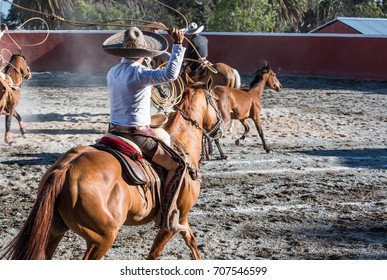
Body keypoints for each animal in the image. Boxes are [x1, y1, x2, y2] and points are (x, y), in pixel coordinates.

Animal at [0, 77, 221, 260]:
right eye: (217, 99)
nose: (220, 126)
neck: (181, 142)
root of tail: (64, 170)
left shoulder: (183, 218)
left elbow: (192, 242)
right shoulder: (173, 222)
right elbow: (154, 254)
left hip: (53, 231)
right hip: (101, 238)